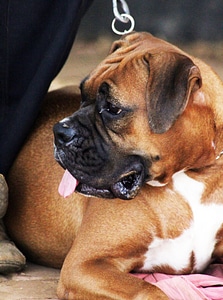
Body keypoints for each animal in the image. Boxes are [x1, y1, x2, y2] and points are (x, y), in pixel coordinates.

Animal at [4, 31, 223, 298]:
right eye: (82, 95)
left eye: (113, 108)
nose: (60, 131)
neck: (195, 174)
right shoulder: (84, 264)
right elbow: (148, 290)